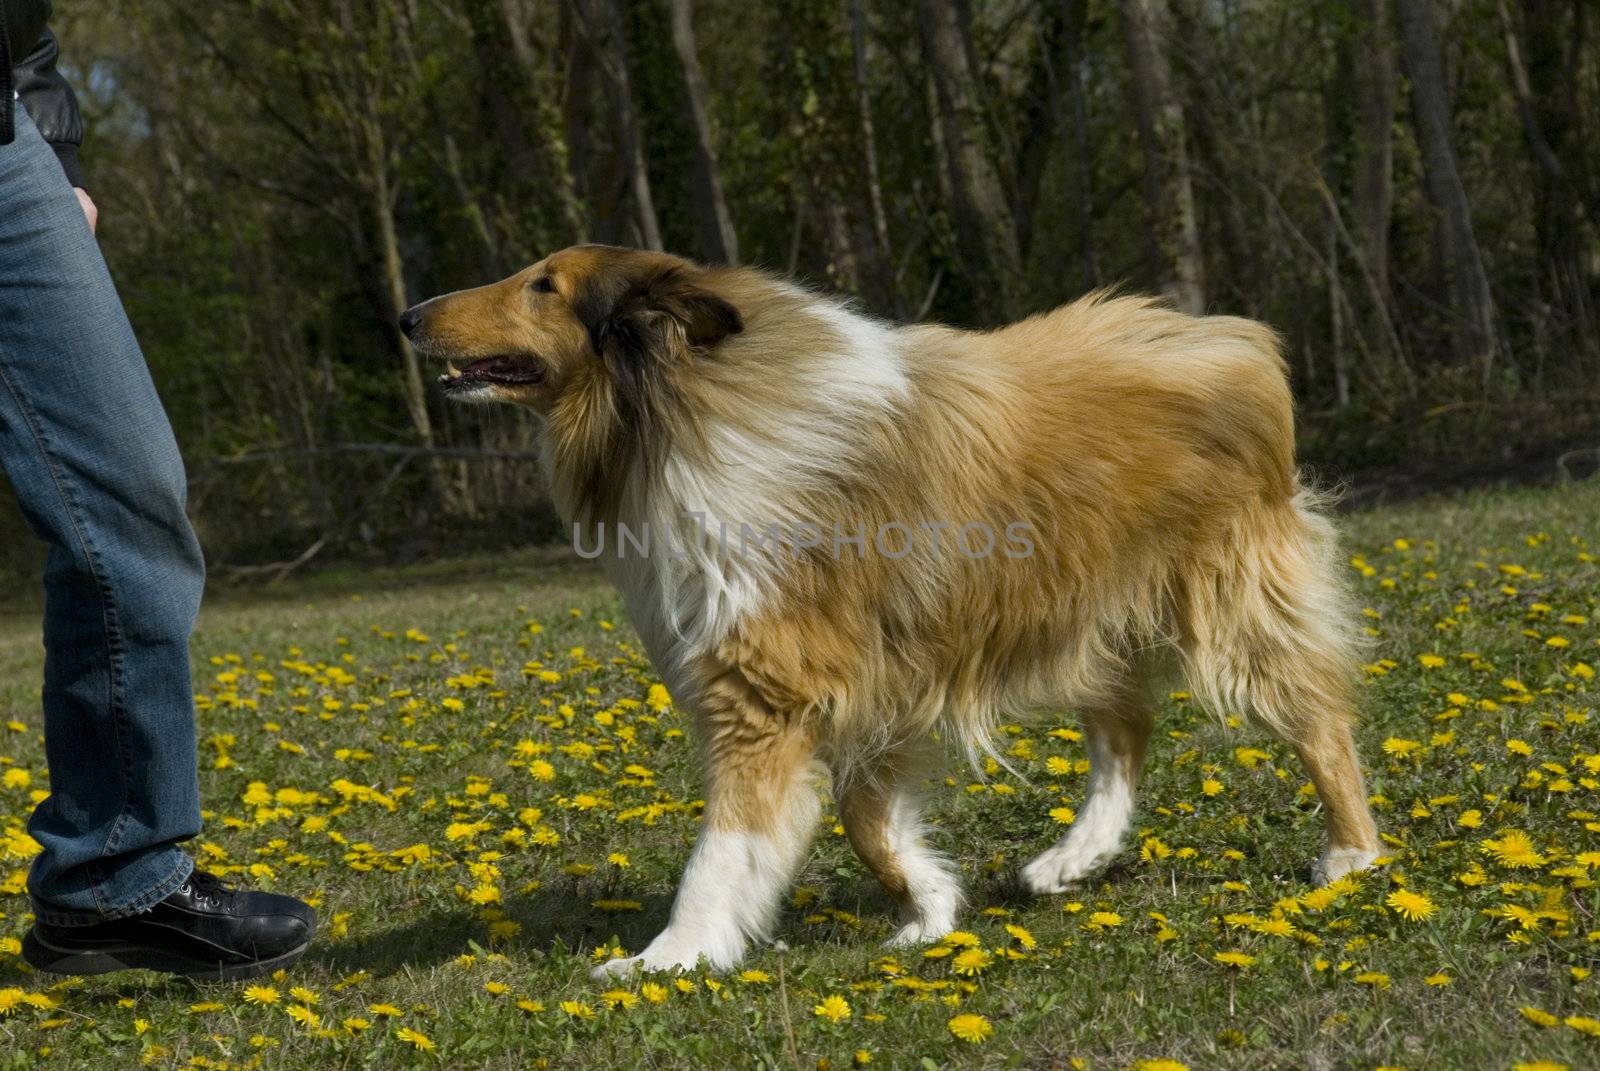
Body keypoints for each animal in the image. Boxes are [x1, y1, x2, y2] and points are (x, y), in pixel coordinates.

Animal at [396, 244, 1376, 979]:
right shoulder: (878, 682)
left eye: (545, 284)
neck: (687, 405)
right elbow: (868, 817)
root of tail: (1232, 339)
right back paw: (1073, 856)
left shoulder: (767, 688)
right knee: (1126, 730)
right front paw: (930, 904)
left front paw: (669, 956)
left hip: (1227, 606)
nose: (407, 315)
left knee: (1317, 720)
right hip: (1087, 616)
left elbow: (726, 845)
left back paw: (1351, 856)